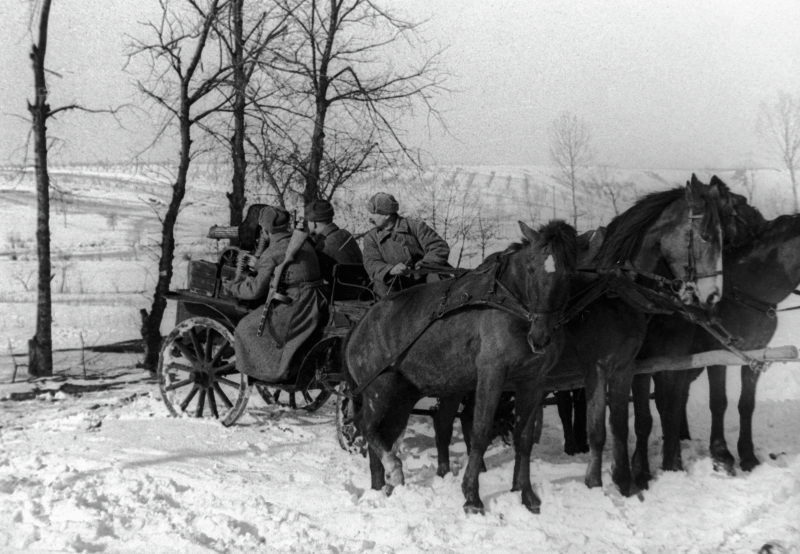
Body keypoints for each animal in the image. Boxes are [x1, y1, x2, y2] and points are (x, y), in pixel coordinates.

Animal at [340, 219, 580, 512]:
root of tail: (359, 325)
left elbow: (524, 438)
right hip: (378, 390)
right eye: (532, 269)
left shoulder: (533, 382)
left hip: (401, 397)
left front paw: (526, 495)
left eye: (569, 274)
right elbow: (480, 432)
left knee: (383, 433)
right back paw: (393, 470)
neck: (510, 306)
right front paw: (472, 497)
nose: (541, 338)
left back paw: (381, 487)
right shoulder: (491, 375)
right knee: (366, 426)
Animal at [434, 177, 728, 496]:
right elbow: (598, 428)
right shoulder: (596, 368)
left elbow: (620, 425)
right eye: (705, 236)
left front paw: (625, 482)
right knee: (451, 418)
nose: (713, 296)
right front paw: (595, 483)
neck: (615, 295)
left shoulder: (625, 368)